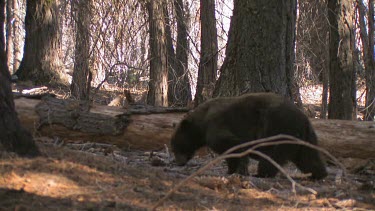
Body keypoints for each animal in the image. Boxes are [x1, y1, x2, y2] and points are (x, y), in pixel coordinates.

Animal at [171, 92, 328, 180]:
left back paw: (261, 174)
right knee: (308, 157)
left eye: (175, 146)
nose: (178, 162)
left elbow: (233, 145)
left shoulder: (216, 125)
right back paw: (318, 174)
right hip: (303, 136)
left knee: (273, 156)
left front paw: (238, 170)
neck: (202, 122)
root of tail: (304, 118)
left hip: (279, 130)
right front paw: (232, 170)